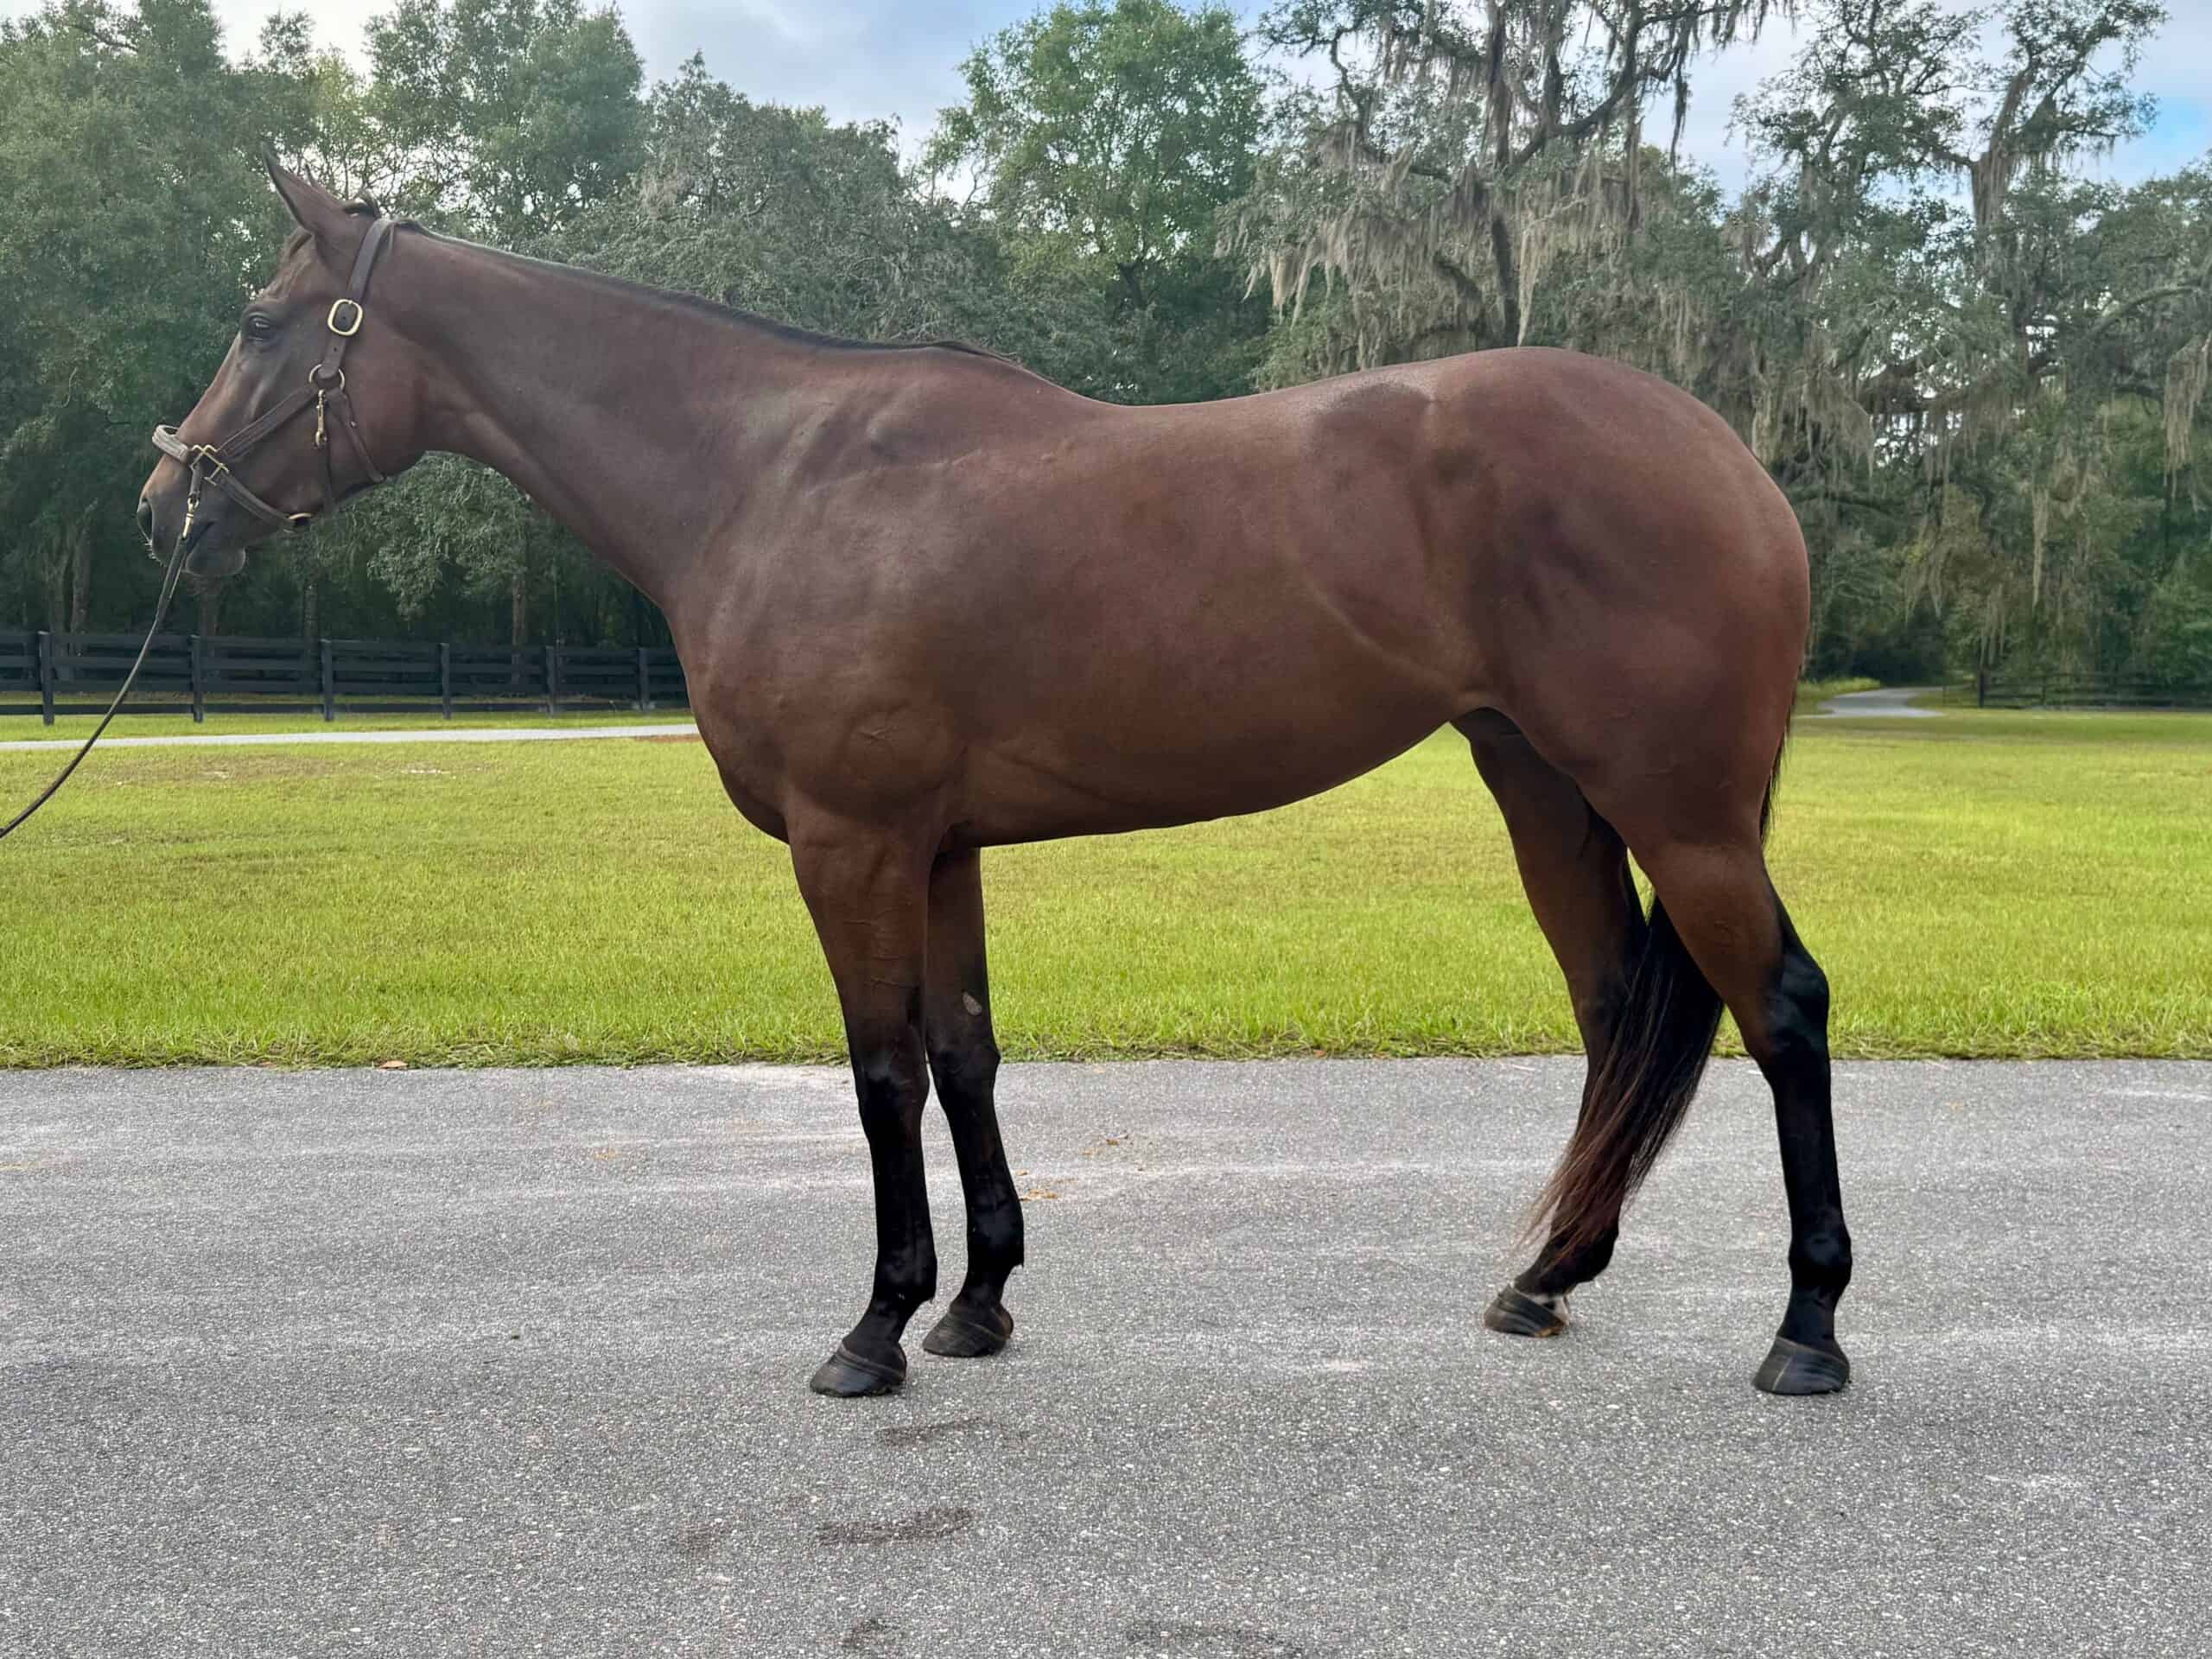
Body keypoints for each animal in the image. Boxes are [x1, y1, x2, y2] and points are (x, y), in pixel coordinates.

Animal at [139, 162, 1852, 1400]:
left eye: (259, 320)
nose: (167, 508)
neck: (773, 477)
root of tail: (1729, 460)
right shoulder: (940, 847)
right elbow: (965, 1055)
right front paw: (978, 1306)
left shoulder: (848, 845)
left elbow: (881, 1072)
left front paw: (875, 1332)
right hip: (1547, 790)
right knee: (1616, 1013)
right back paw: (1544, 1282)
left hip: (1683, 813)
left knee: (1780, 1008)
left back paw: (1808, 1332)